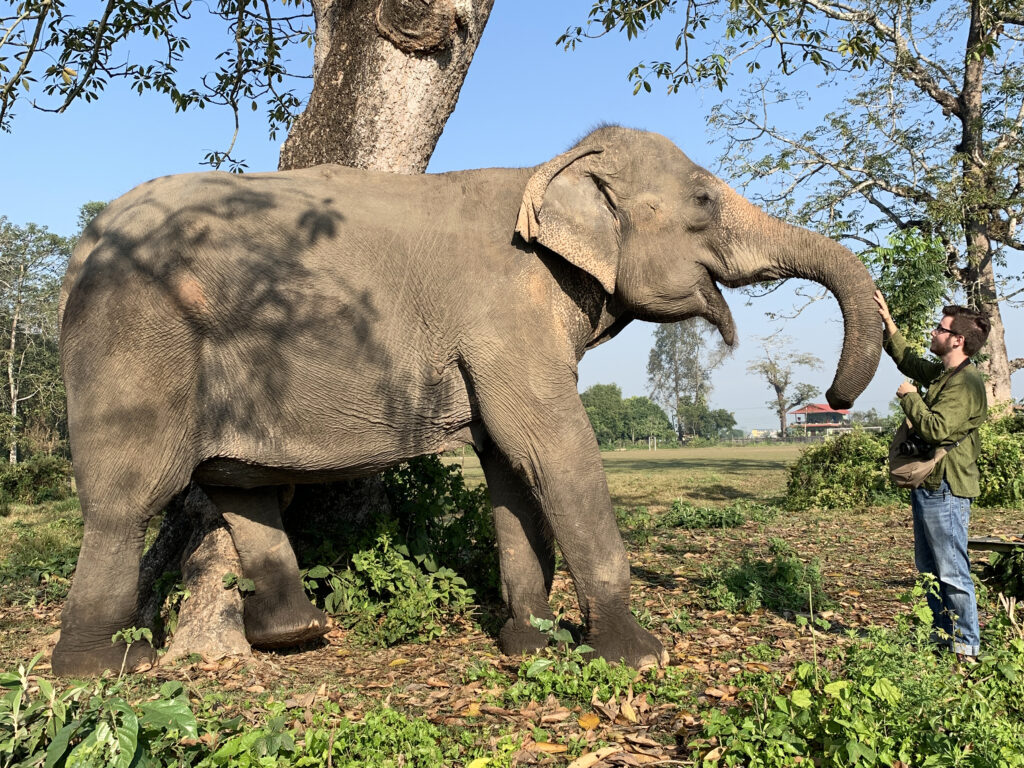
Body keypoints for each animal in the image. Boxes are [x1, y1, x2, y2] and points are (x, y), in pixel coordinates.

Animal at [51, 128, 880, 679]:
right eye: (703, 200)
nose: (835, 399)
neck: (549, 168)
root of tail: (78, 250)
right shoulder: (506, 310)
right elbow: (552, 446)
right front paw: (640, 658)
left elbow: (509, 464)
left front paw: (530, 644)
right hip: (135, 337)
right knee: (130, 498)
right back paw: (102, 672)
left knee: (242, 485)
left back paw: (296, 636)